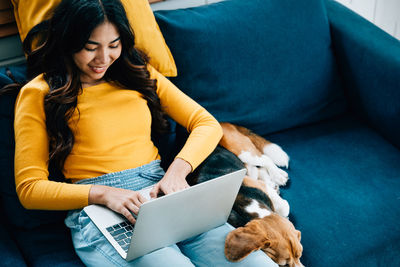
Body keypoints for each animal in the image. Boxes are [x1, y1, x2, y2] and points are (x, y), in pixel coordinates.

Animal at [188, 123, 304, 267]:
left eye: (300, 254)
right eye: (284, 265)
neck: (248, 207)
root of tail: (224, 123)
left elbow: (284, 207)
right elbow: (284, 207)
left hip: (245, 152)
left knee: (265, 160)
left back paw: (278, 175)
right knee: (260, 167)